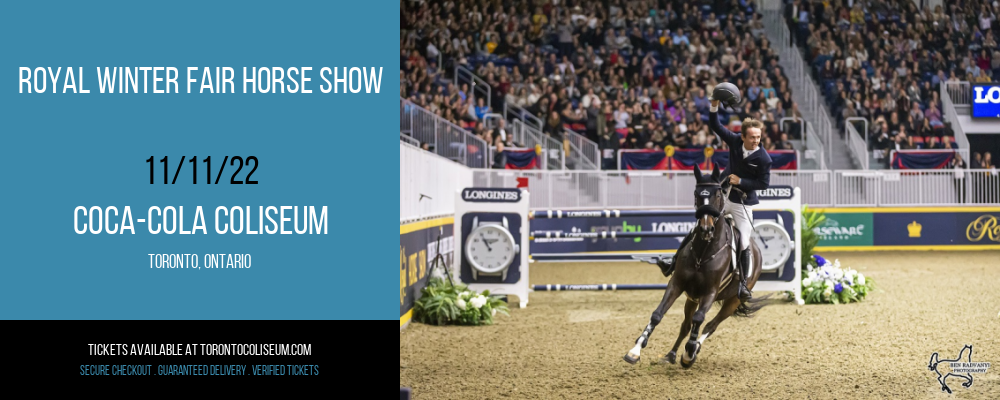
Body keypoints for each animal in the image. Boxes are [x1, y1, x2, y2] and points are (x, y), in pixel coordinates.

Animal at [616, 163, 772, 368]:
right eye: (697, 194)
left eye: (718, 194)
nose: (706, 229)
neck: (704, 252)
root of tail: (757, 250)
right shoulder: (677, 284)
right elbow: (657, 314)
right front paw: (634, 351)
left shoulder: (710, 292)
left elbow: (700, 319)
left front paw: (689, 354)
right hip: (692, 298)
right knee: (686, 326)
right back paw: (671, 355)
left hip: (732, 301)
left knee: (710, 325)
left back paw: (693, 349)